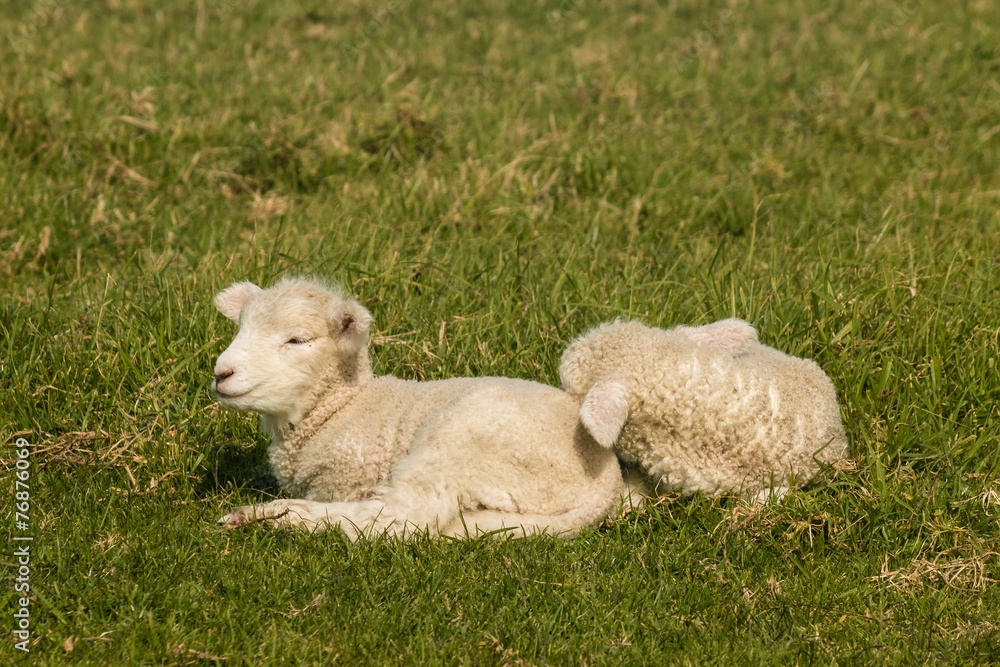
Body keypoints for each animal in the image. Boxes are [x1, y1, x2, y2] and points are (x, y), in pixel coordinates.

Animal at [211, 277, 633, 538]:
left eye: (297, 340)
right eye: (241, 327)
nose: (221, 374)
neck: (344, 408)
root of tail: (603, 491)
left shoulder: (344, 481)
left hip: (462, 439)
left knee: (398, 519)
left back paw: (277, 516)